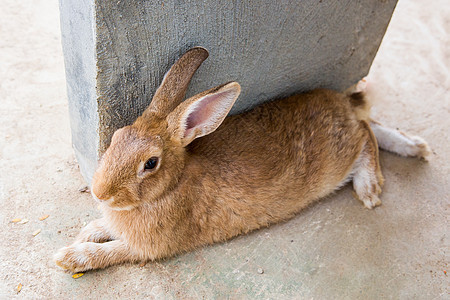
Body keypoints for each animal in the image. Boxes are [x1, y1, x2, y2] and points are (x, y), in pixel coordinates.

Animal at [54, 46, 430, 272]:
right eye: (116, 137)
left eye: (150, 163)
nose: (100, 193)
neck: (172, 186)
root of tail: (343, 105)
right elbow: (103, 228)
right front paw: (89, 230)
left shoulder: (148, 247)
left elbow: (112, 252)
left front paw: (68, 257)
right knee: (368, 122)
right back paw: (414, 146)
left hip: (341, 156)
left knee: (365, 135)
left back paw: (370, 187)